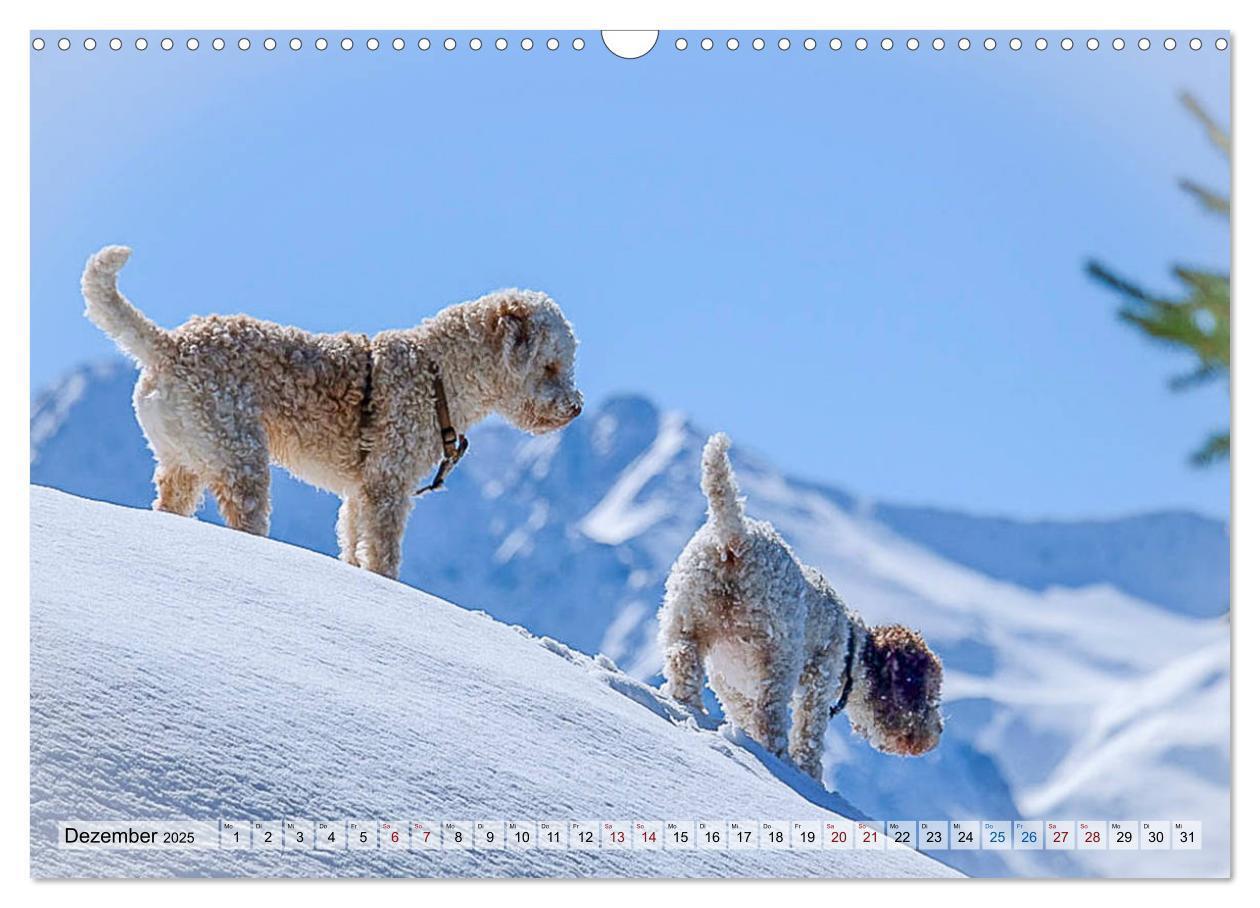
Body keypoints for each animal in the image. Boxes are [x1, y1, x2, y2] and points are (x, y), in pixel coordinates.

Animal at [81, 244, 582, 576]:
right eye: (551, 365)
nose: (575, 408)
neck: (438, 374)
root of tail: (169, 345)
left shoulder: (360, 491)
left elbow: (354, 543)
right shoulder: (387, 485)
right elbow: (383, 554)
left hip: (182, 459)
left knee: (170, 502)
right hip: (238, 455)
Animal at [660, 433, 947, 780]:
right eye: (927, 693)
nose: (937, 733)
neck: (852, 647)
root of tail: (735, 539)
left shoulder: (726, 678)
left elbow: (740, 708)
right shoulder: (819, 677)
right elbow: (809, 730)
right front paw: (809, 772)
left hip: (685, 616)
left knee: (682, 661)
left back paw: (688, 704)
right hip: (777, 655)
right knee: (770, 713)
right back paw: (778, 754)